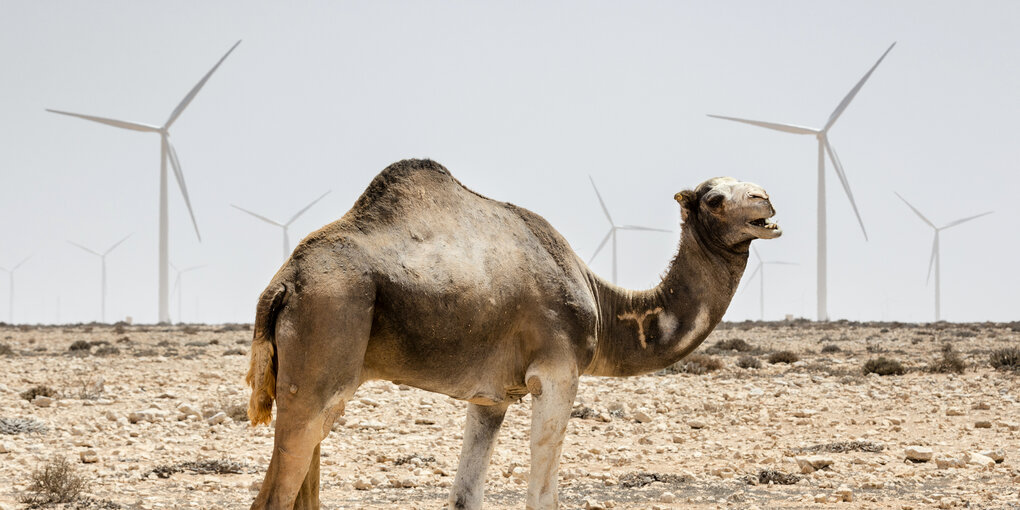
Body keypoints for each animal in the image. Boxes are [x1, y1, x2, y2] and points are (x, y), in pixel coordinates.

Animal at [244, 157, 779, 507]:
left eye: (752, 191)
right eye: (715, 198)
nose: (767, 201)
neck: (601, 305)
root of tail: (283, 284)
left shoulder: (491, 396)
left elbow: (464, 497)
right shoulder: (558, 371)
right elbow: (542, 497)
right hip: (328, 329)